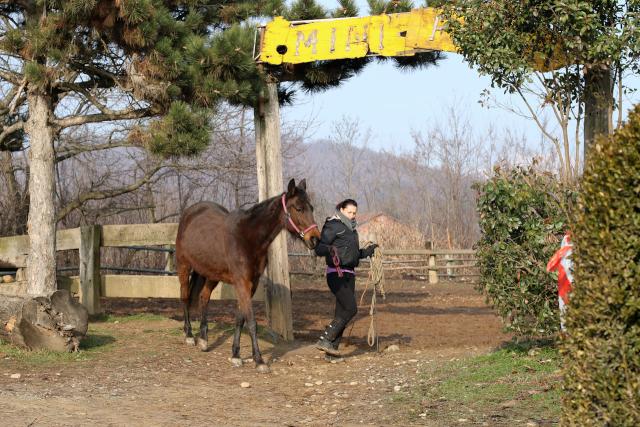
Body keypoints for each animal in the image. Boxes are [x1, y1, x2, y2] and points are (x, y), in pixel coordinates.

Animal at [175, 179, 320, 372]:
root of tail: (189, 213)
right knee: (185, 297)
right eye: (298, 208)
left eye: (311, 207)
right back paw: (190, 335)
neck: (247, 237)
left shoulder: (252, 283)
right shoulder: (242, 282)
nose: (315, 239)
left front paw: (236, 355)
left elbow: (240, 318)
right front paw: (259, 360)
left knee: (203, 297)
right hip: (184, 266)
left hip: (211, 274)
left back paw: (204, 341)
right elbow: (251, 321)